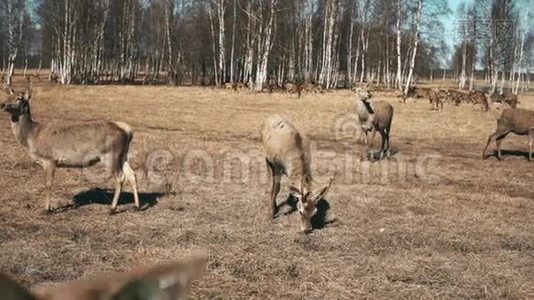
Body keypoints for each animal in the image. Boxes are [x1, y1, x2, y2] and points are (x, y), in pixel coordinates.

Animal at [1, 82, 139, 213]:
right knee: (132, 174)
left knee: (120, 177)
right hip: (123, 154)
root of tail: (128, 130)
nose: (3, 104)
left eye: (19, 98)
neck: (31, 136)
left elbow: (48, 184)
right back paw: (136, 206)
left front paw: (46, 209)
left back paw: (112, 208)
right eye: (8, 95)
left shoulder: (50, 158)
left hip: (110, 154)